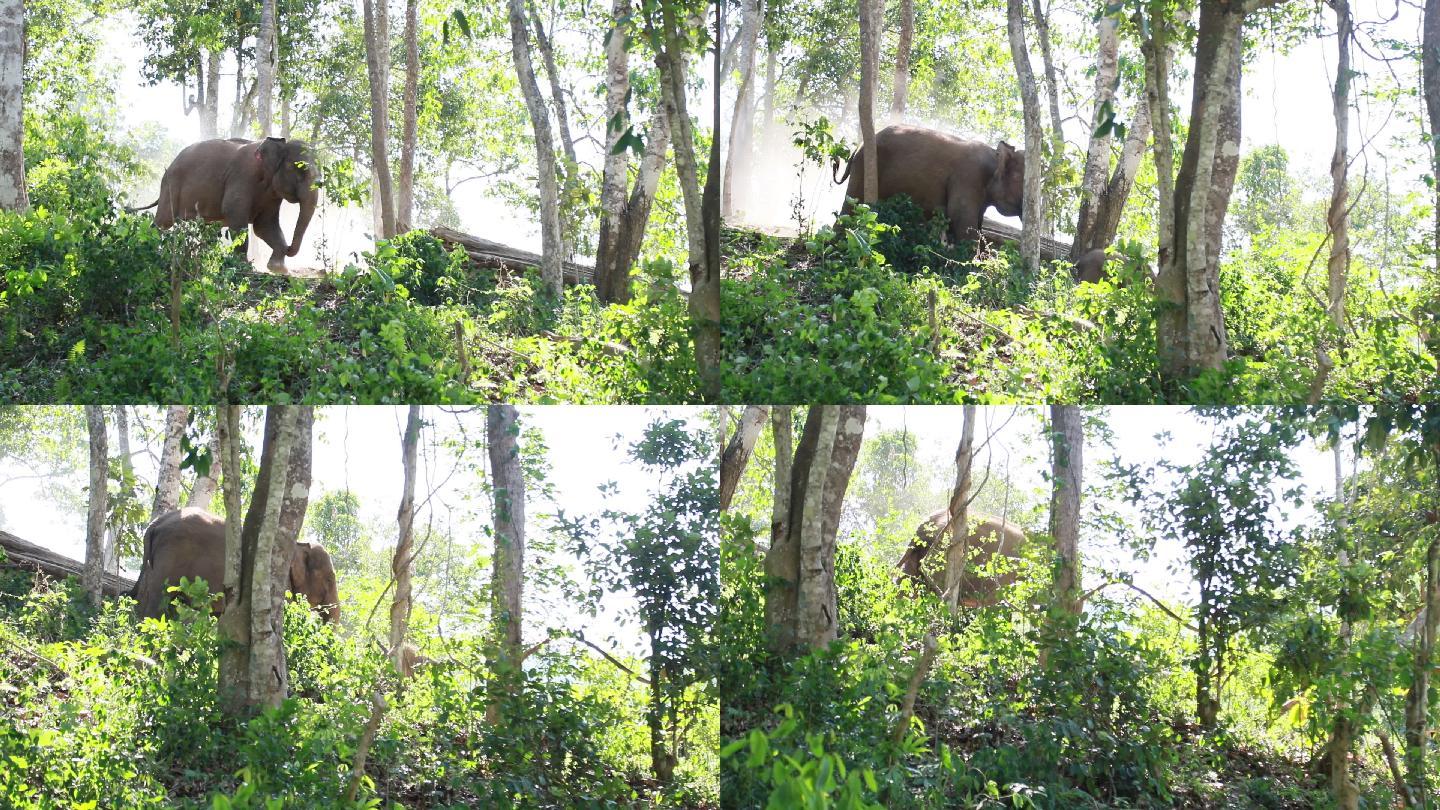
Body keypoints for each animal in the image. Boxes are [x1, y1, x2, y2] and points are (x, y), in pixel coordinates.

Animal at [131, 136, 318, 272]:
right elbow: (237, 220)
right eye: (301, 169)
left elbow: (264, 226)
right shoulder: (242, 177)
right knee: (163, 222)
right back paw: (149, 248)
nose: (288, 248)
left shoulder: (271, 194)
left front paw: (278, 269)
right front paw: (244, 267)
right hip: (170, 186)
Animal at [835, 123, 1025, 242]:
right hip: (864, 168)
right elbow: (961, 220)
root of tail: (857, 148)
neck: (995, 156)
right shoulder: (968, 177)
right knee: (851, 207)